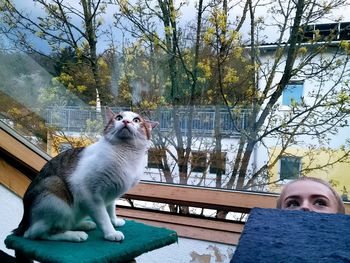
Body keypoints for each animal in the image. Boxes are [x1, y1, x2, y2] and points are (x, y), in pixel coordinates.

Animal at [13, 109, 158, 243]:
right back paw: (75, 235)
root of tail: (24, 222)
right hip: (55, 189)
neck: (126, 155)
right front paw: (111, 232)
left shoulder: (112, 195)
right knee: (37, 234)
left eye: (136, 120)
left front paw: (115, 221)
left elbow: (111, 210)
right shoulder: (90, 195)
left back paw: (83, 224)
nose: (126, 121)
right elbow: (103, 217)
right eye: (119, 118)